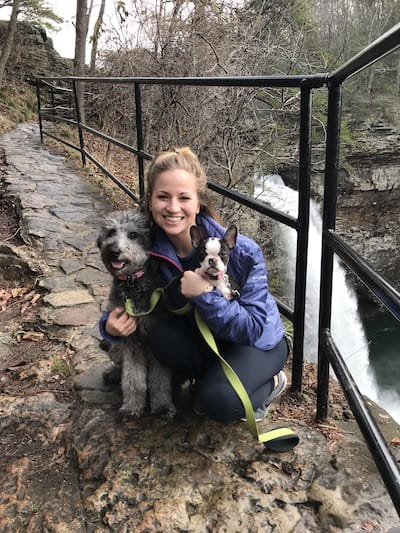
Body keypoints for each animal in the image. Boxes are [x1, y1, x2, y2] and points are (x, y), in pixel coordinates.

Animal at [97, 208, 175, 420]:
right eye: (110, 233)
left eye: (133, 234)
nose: (114, 251)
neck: (133, 283)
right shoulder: (130, 339)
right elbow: (132, 378)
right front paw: (132, 407)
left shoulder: (155, 339)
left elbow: (159, 380)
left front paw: (162, 405)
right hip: (115, 345)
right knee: (120, 363)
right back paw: (113, 374)